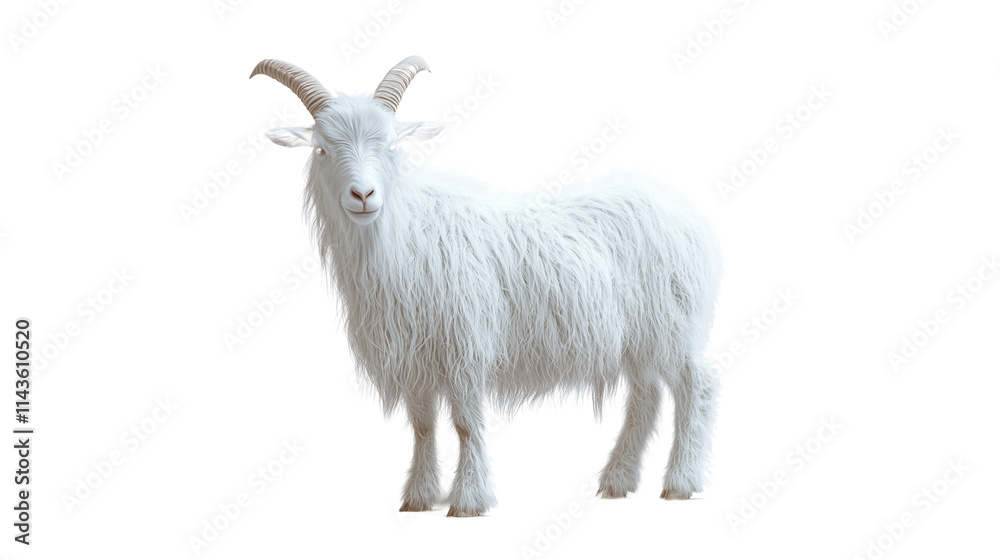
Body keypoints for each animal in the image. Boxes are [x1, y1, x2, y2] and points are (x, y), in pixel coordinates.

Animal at [249, 56, 722, 516]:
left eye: (392, 146)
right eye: (321, 149)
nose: (363, 195)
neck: (405, 237)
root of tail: (687, 215)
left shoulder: (466, 346)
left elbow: (465, 424)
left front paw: (468, 500)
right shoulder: (416, 358)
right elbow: (423, 426)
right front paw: (418, 497)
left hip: (673, 325)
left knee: (696, 387)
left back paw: (680, 482)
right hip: (638, 337)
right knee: (646, 397)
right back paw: (618, 481)